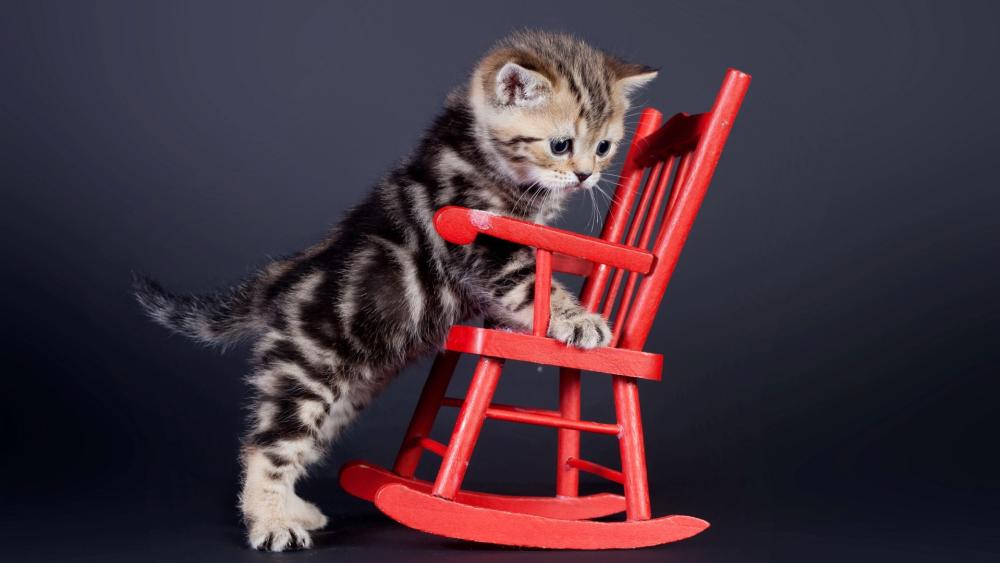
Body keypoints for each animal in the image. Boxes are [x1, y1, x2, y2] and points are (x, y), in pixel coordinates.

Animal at [137, 29, 660, 552]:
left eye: (605, 146)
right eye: (560, 144)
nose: (586, 175)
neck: (477, 151)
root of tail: (285, 276)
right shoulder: (486, 242)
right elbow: (535, 286)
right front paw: (583, 320)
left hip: (348, 390)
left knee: (303, 445)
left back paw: (295, 510)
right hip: (307, 370)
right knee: (268, 446)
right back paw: (270, 523)